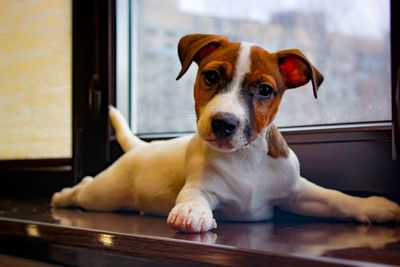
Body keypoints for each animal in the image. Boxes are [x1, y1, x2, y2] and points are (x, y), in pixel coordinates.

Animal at [52, 33, 400, 233]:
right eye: (211, 76)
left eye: (264, 90)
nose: (223, 123)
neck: (245, 156)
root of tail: (140, 147)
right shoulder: (203, 186)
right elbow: (194, 195)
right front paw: (191, 211)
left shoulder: (296, 192)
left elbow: (335, 198)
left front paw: (373, 206)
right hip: (105, 195)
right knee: (85, 188)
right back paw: (63, 195)